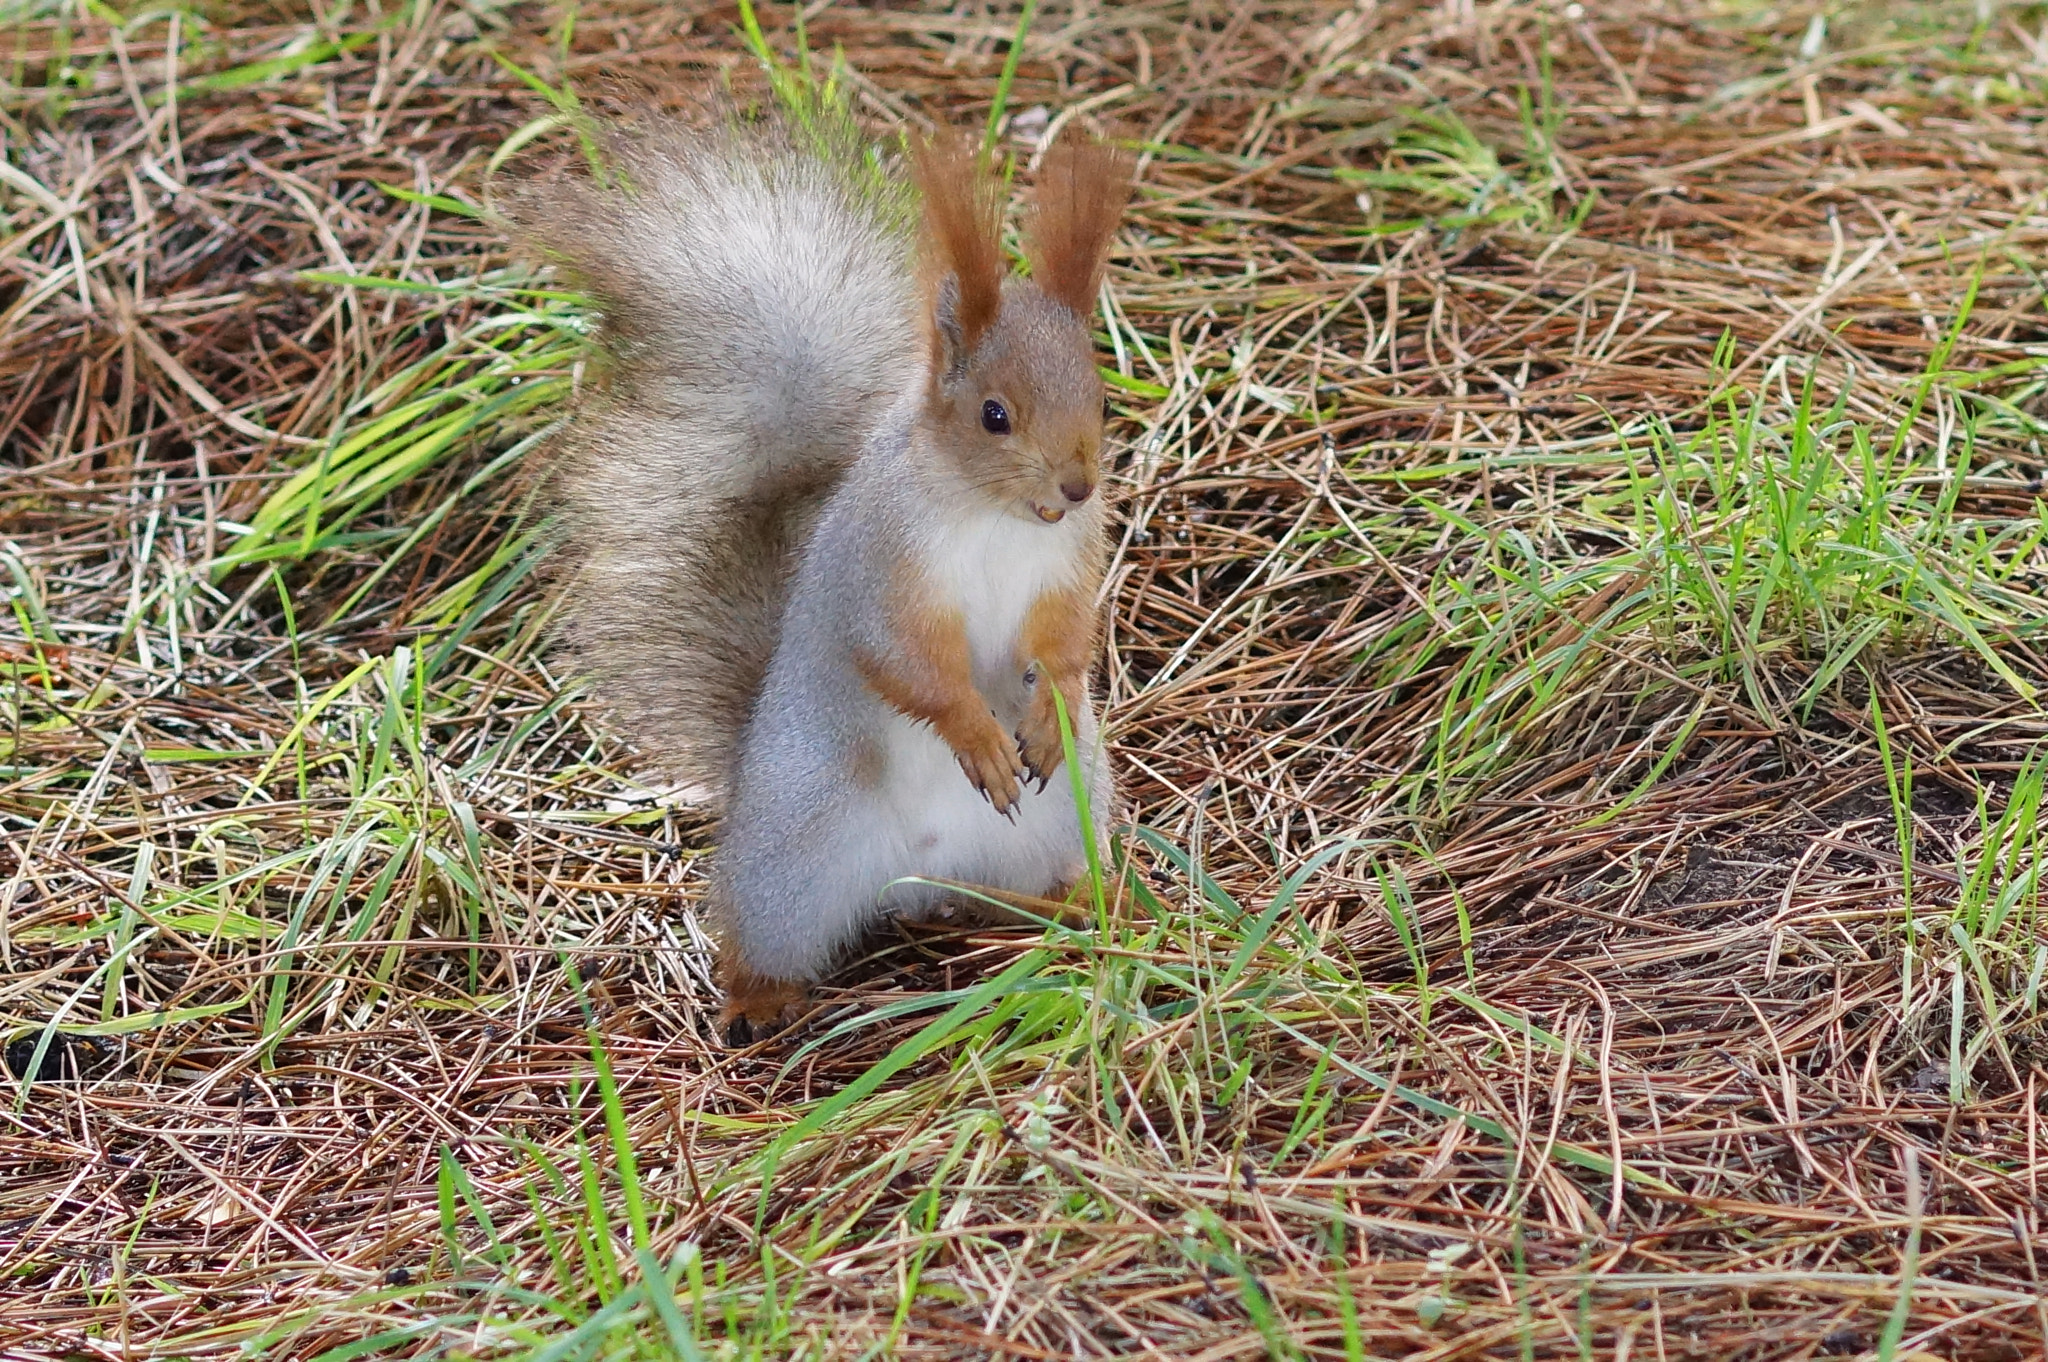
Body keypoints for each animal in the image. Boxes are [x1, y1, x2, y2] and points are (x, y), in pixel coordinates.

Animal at [520, 119, 1138, 1040]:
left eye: (1101, 400)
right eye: (994, 415)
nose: (1076, 488)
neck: (998, 519)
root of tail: (920, 877)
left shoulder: (1066, 567)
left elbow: (1064, 641)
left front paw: (1050, 706)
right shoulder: (878, 570)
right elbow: (905, 660)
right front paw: (978, 735)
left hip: (1062, 815)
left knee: (1020, 891)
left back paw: (1076, 911)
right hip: (797, 843)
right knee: (762, 935)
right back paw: (757, 999)